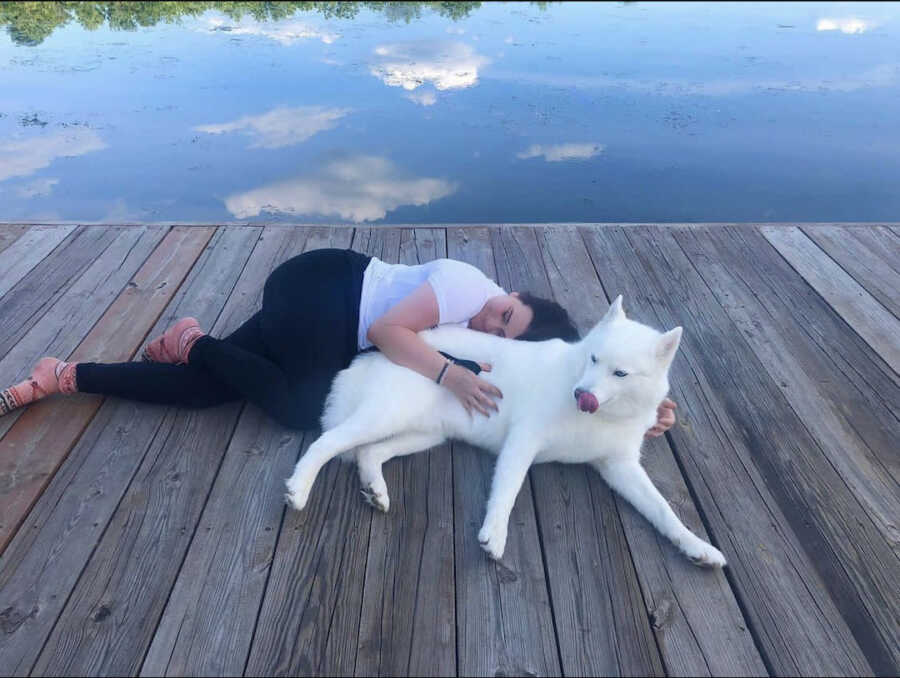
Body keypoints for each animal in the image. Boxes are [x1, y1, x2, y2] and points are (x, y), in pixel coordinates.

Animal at [284, 298, 728, 568]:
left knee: (367, 453)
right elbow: (508, 491)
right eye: (593, 358)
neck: (598, 416)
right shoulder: (523, 441)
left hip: (423, 434)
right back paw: (299, 489)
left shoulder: (619, 467)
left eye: (620, 373)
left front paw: (698, 547)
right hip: (385, 415)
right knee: (326, 443)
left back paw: (376, 489)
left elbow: (665, 511)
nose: (580, 393)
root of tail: (371, 352)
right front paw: (493, 535)